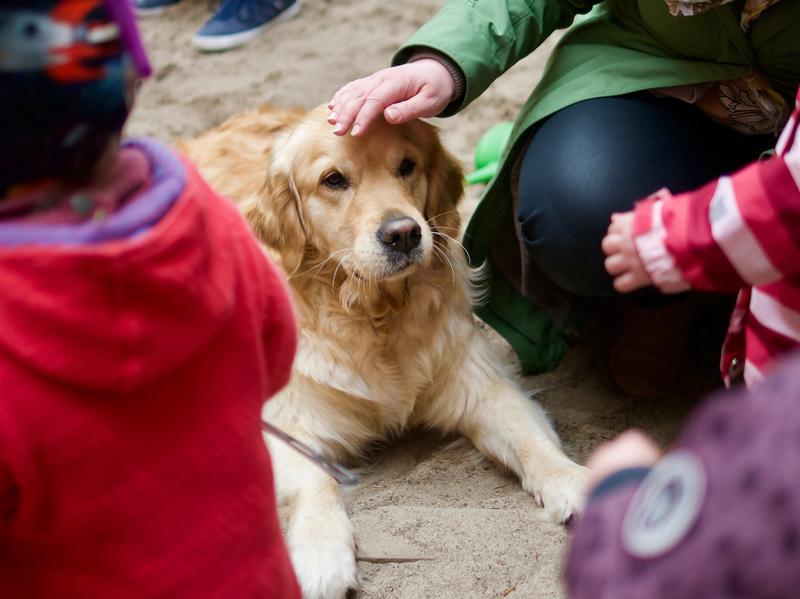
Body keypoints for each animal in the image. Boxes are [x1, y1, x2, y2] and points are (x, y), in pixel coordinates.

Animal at [181, 105, 588, 599]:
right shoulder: (285, 421)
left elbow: (532, 441)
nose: (404, 234)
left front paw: (575, 481)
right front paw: (320, 553)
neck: (374, 314)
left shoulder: (480, 385)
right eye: (333, 179)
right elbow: (316, 481)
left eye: (407, 166)